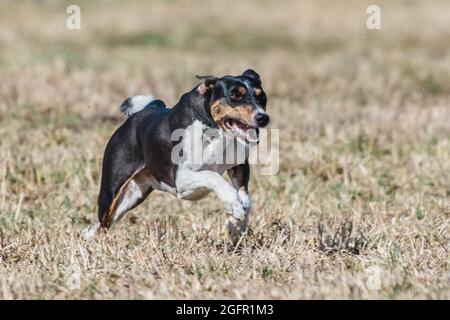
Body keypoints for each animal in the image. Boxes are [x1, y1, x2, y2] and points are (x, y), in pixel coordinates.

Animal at [83, 68, 268, 242]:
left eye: (262, 96)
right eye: (234, 95)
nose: (263, 118)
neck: (215, 129)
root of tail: (136, 116)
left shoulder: (239, 167)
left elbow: (246, 199)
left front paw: (236, 225)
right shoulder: (181, 180)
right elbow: (213, 177)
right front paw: (234, 206)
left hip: (134, 195)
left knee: (104, 222)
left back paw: (88, 237)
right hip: (112, 188)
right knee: (104, 218)